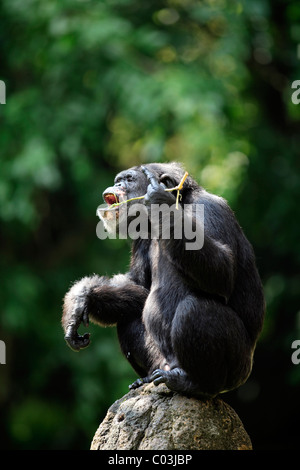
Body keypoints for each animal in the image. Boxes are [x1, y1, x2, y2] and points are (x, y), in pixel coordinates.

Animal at [61, 163, 264, 398]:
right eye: (118, 180)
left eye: (129, 179)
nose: (117, 184)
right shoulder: (142, 237)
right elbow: (139, 285)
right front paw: (81, 298)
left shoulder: (211, 209)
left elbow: (224, 272)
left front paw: (160, 203)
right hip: (161, 361)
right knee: (128, 315)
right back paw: (146, 379)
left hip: (237, 370)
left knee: (193, 310)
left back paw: (193, 384)